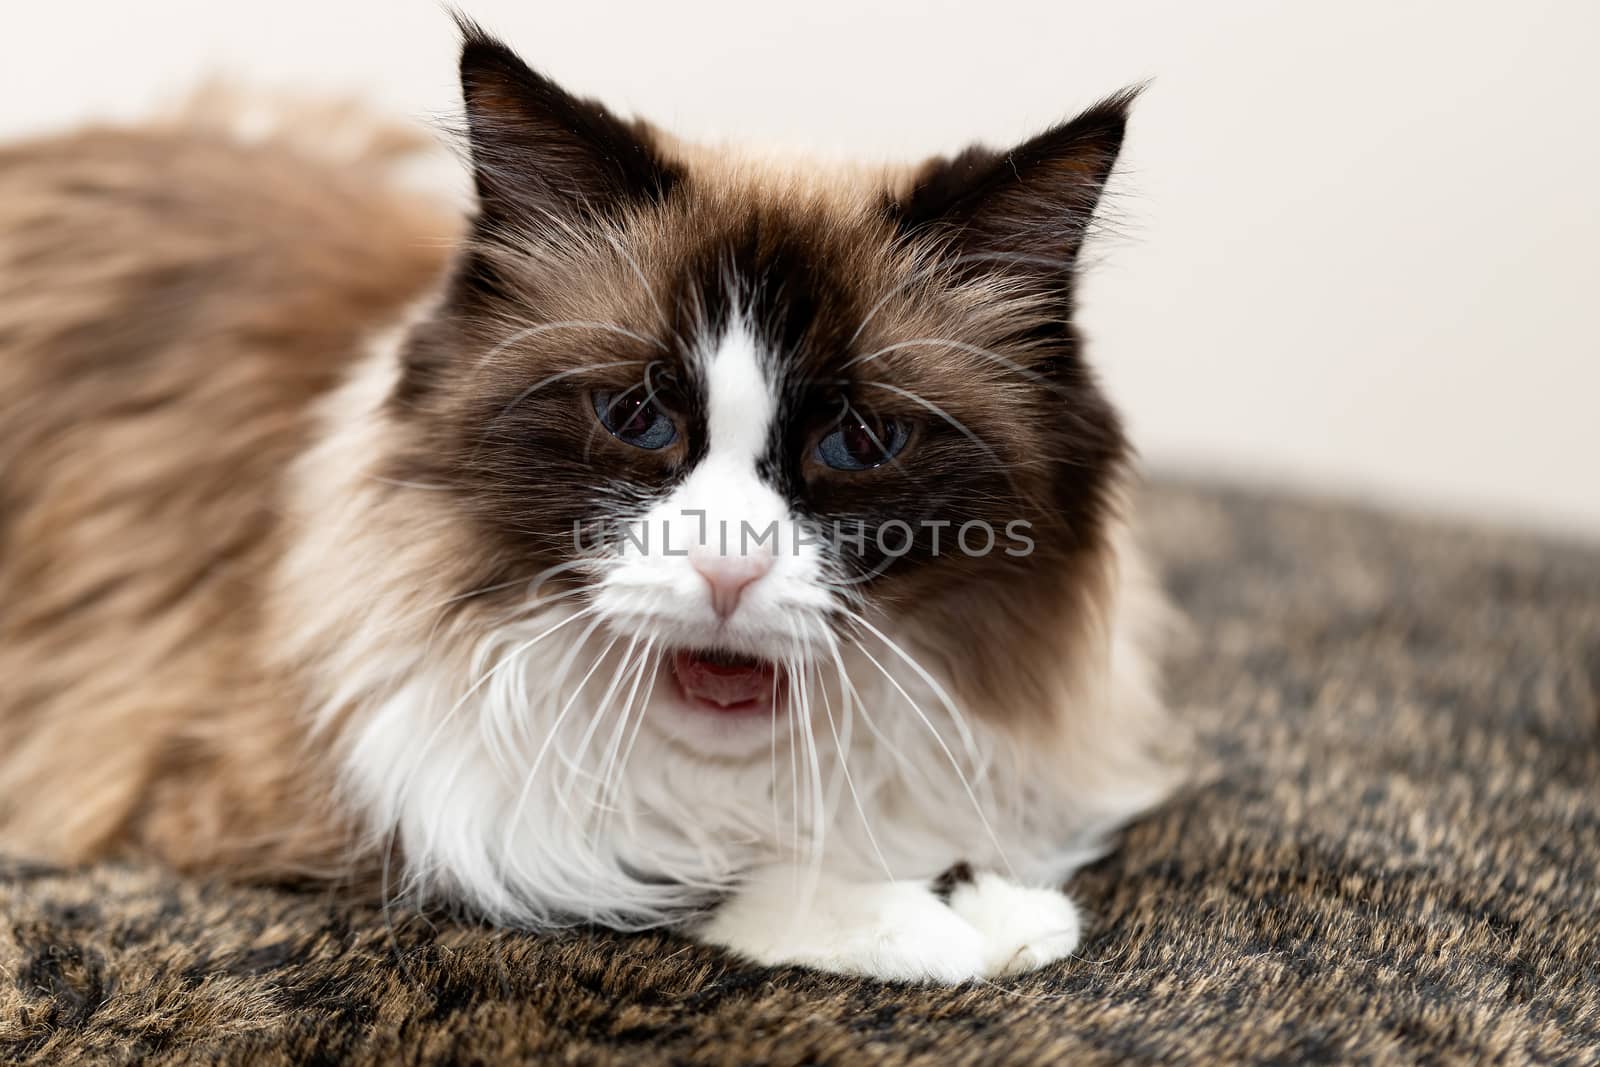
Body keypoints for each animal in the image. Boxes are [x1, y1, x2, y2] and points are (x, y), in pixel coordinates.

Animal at [0, 18, 1177, 985]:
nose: (727, 566)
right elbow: (643, 869)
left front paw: (995, 904)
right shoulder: (313, 796)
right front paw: (947, 926)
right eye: (637, 417)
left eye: (858, 440)